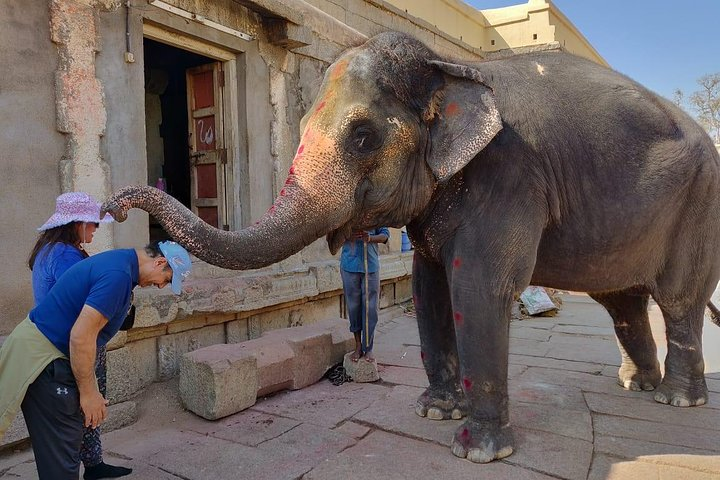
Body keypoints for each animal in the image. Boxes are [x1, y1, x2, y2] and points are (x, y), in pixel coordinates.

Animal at [103, 32, 720, 463]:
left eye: (362, 137)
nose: (114, 206)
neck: (450, 69)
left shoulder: (510, 176)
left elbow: (477, 287)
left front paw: (478, 450)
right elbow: (428, 285)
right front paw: (434, 413)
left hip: (700, 205)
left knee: (677, 300)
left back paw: (676, 401)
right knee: (623, 302)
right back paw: (637, 384)